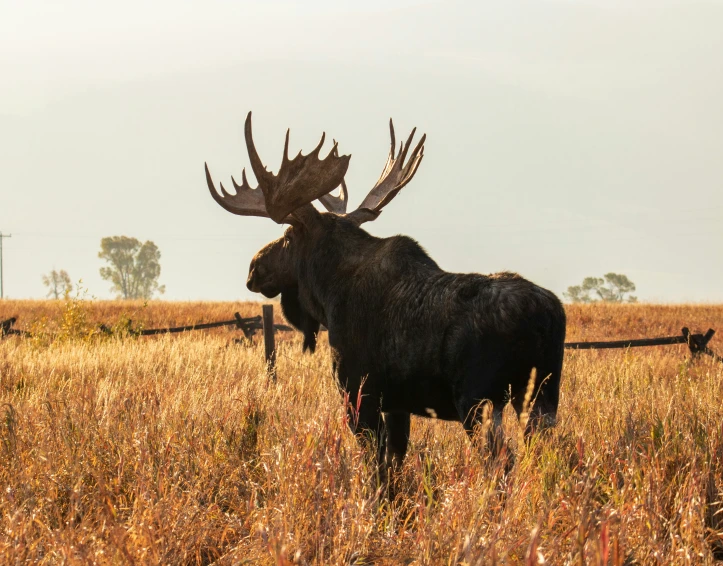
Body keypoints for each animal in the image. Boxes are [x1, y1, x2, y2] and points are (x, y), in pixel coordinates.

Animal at [204, 114, 564, 484]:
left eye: (288, 235)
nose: (254, 268)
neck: (327, 293)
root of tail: (547, 316)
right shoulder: (397, 404)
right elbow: (396, 461)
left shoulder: (358, 393)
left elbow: (377, 468)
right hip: (542, 396)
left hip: (479, 399)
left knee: (500, 460)